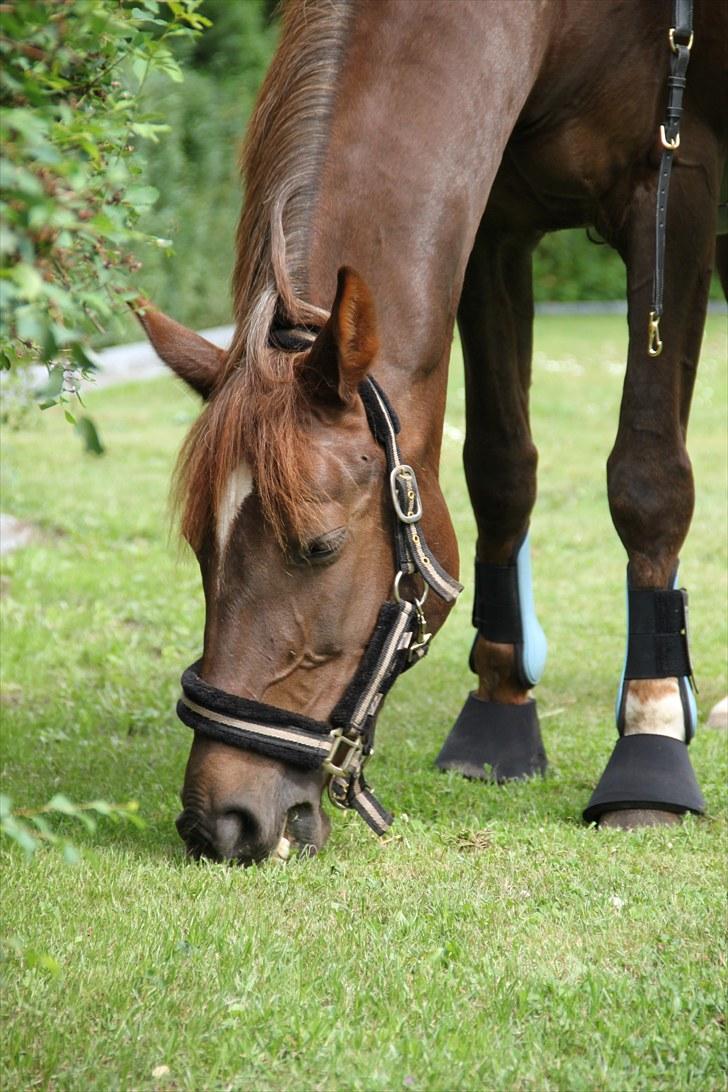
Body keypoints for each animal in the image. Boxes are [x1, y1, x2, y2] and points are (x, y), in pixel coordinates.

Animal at [138, 0, 728, 864]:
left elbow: (647, 479)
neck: (570, 25)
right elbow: (501, 468)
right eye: (200, 549)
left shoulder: (674, 189)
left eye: (318, 547)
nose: (220, 822)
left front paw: (650, 743)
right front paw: (499, 711)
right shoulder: (492, 225)